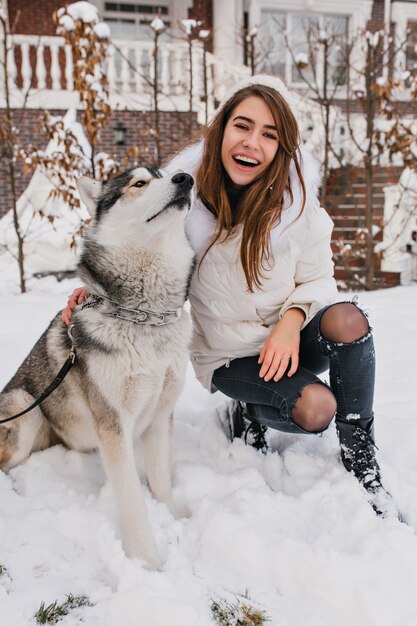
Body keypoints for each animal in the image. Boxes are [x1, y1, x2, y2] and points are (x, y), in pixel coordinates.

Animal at [0, 167, 195, 572]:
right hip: (22, 406)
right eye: (139, 183)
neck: (144, 318)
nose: (186, 178)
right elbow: (132, 501)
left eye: (167, 174)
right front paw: (148, 563)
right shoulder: (113, 423)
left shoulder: (161, 412)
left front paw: (172, 515)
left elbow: (161, 479)